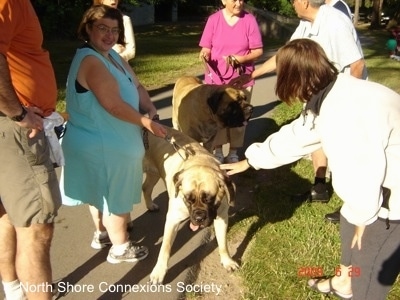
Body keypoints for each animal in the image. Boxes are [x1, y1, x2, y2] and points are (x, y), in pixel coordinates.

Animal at [143, 126, 239, 284]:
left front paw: (227, 261)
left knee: (146, 188)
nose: (199, 217)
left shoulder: (222, 217)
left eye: (209, 199)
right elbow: (165, 247)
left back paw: (150, 205)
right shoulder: (173, 220)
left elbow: (223, 242)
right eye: (188, 199)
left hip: (154, 173)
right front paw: (159, 272)